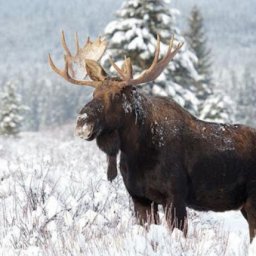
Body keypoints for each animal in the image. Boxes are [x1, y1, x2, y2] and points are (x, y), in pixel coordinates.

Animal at [49, 32, 256, 242]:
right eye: (93, 93)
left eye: (116, 95)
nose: (83, 121)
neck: (137, 153)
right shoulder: (140, 198)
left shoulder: (175, 196)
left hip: (252, 201)